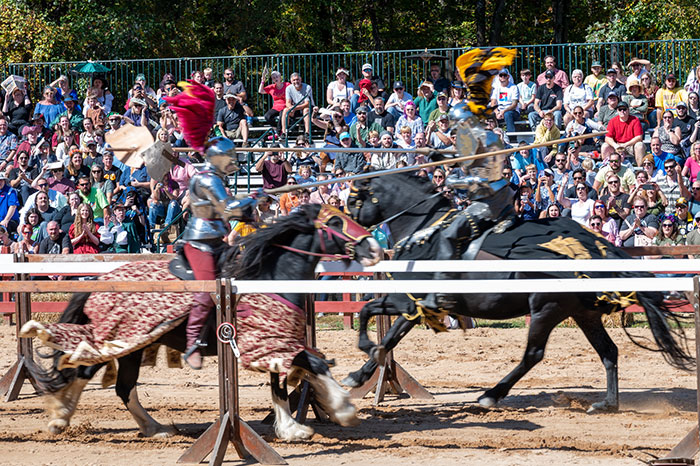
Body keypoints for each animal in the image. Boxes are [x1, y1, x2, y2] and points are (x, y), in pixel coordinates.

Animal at [20, 206, 382, 442]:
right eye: (335, 221)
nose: (374, 247)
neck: (269, 274)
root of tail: (100, 282)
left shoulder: (278, 346)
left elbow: (283, 385)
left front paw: (292, 426)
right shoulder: (271, 344)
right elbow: (314, 365)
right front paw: (341, 410)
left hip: (133, 347)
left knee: (121, 386)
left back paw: (154, 428)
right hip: (123, 341)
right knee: (86, 371)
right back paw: (61, 418)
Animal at [342, 174, 692, 412]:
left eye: (355, 198)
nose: (357, 243)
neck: (424, 231)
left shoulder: (407, 302)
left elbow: (372, 317)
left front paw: (363, 358)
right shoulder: (415, 308)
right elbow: (387, 335)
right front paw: (360, 374)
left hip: (546, 309)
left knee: (533, 355)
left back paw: (491, 395)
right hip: (583, 314)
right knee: (609, 352)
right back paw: (607, 403)